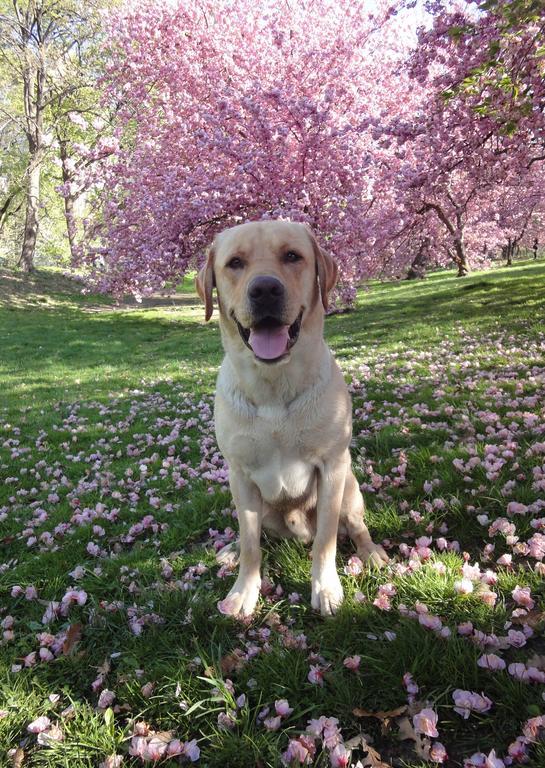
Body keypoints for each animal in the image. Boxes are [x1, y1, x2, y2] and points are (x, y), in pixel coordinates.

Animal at [196, 219, 386, 616]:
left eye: (292, 256)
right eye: (235, 263)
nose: (265, 289)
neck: (273, 388)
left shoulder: (332, 467)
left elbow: (326, 540)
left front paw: (326, 588)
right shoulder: (240, 475)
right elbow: (251, 544)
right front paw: (244, 590)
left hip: (350, 488)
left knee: (355, 526)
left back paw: (372, 552)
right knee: (252, 533)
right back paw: (230, 549)